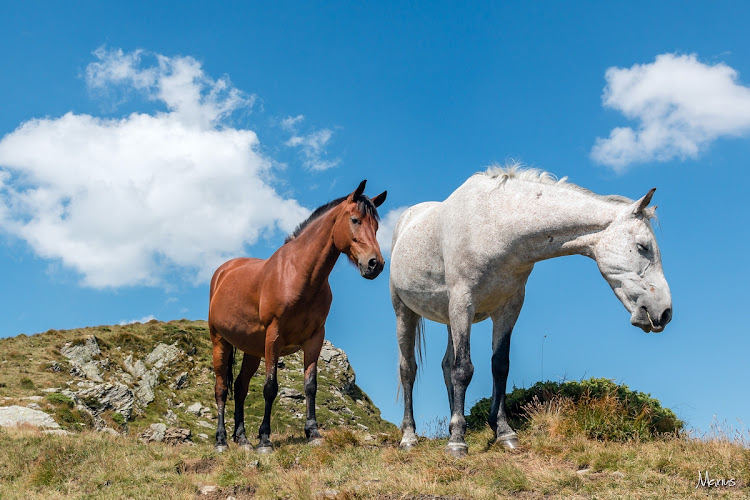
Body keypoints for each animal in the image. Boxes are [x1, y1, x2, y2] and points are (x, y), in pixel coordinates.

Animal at [210, 181, 388, 454]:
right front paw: (265, 439)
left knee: (240, 388)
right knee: (221, 388)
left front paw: (313, 432)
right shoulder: (274, 337)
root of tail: (223, 272)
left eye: (376, 226)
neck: (298, 274)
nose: (374, 264)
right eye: (355, 220)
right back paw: (221, 440)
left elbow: (310, 385)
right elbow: (270, 387)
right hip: (220, 341)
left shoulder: (315, 337)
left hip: (251, 350)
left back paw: (242, 439)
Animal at [394, 166, 676, 456]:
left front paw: (503, 432)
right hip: (405, 311)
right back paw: (410, 437)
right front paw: (457, 442)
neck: (495, 225)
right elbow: (463, 369)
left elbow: (499, 366)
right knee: (408, 369)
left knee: (445, 366)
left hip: (450, 317)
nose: (664, 312)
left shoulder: (509, 308)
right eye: (643, 247)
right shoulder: (463, 302)